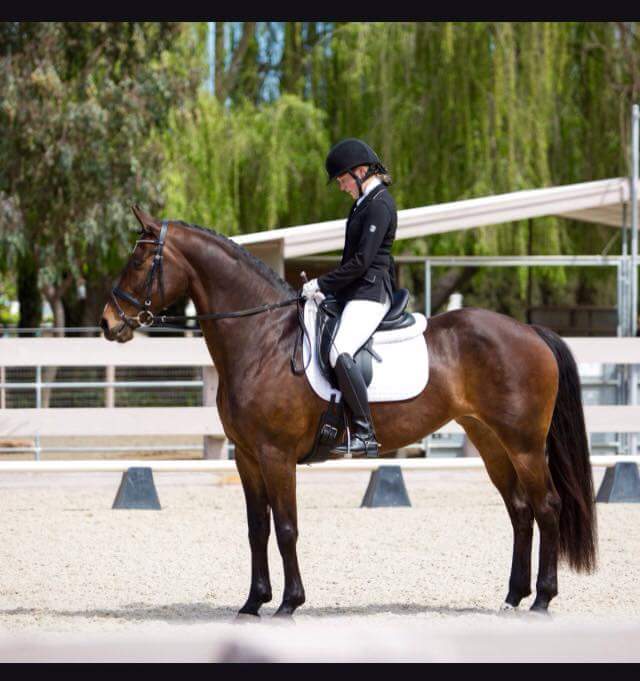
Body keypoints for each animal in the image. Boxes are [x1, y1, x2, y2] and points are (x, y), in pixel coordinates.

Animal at [99, 206, 596, 616]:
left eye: (139, 261)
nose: (107, 322)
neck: (261, 339)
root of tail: (529, 331)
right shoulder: (247, 457)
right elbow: (257, 528)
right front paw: (252, 603)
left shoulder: (276, 455)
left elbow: (286, 528)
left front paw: (289, 603)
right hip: (489, 440)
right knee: (519, 510)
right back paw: (513, 597)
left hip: (524, 444)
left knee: (546, 505)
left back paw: (543, 599)